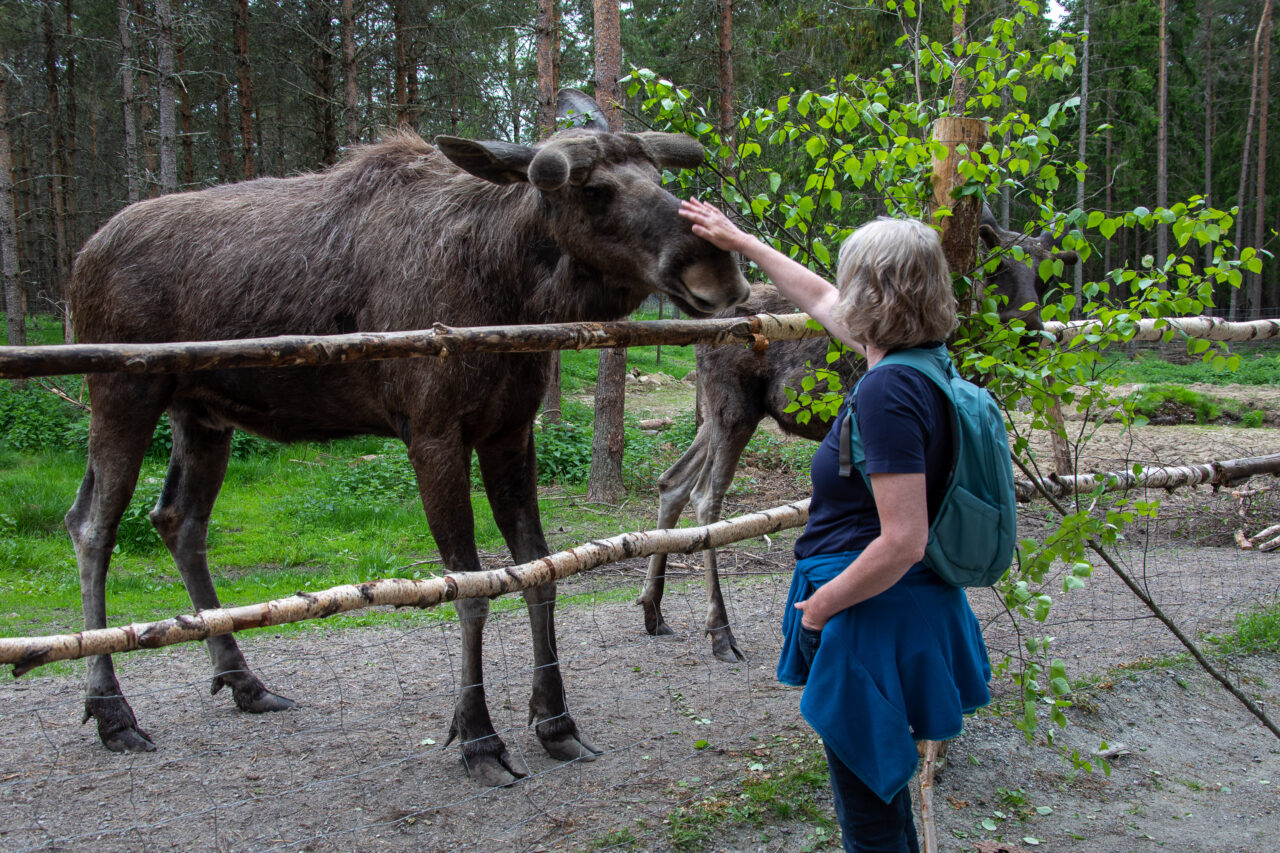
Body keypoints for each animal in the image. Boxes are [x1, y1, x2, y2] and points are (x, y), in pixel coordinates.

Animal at [67, 91, 747, 783]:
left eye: (660, 176)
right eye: (592, 188)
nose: (718, 267)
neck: (510, 290)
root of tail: (81, 257)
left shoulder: (509, 431)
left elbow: (540, 572)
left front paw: (555, 720)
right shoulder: (433, 433)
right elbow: (470, 588)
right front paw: (479, 736)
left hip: (203, 415)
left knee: (178, 520)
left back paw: (244, 681)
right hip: (123, 393)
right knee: (92, 525)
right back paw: (112, 711)